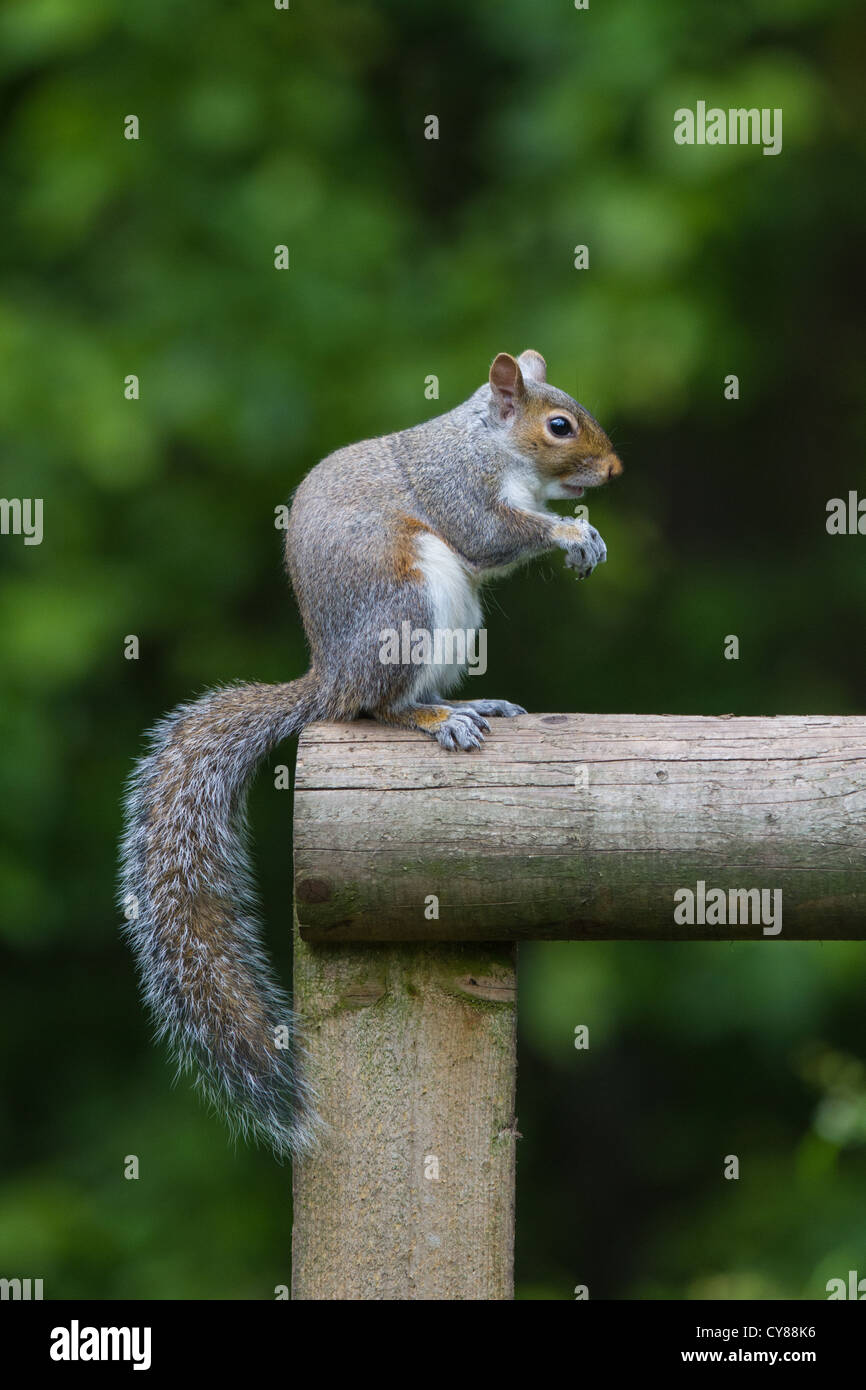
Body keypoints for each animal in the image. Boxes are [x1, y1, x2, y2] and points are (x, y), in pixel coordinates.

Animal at [122, 353, 622, 1156]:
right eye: (558, 425)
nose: (612, 468)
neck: (486, 443)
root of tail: (329, 677)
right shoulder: (459, 493)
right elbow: (491, 534)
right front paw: (569, 533)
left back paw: (470, 704)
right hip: (408, 605)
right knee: (379, 708)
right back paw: (435, 717)